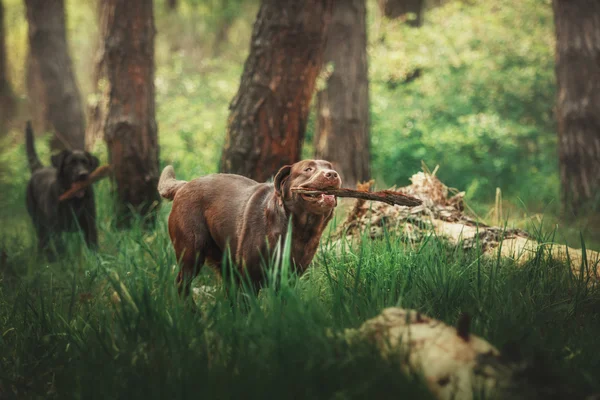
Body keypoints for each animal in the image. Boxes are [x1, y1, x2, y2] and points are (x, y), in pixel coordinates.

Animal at [24, 122, 99, 260]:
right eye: (71, 163)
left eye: (86, 163)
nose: (83, 175)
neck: (74, 201)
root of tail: (39, 169)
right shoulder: (56, 229)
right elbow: (61, 248)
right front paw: (65, 262)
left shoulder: (90, 224)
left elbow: (93, 246)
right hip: (38, 223)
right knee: (43, 242)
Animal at [157, 160, 340, 296]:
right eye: (308, 169)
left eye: (330, 167)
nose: (332, 174)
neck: (298, 230)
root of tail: (184, 185)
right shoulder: (249, 279)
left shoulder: (288, 279)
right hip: (191, 251)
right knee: (182, 284)